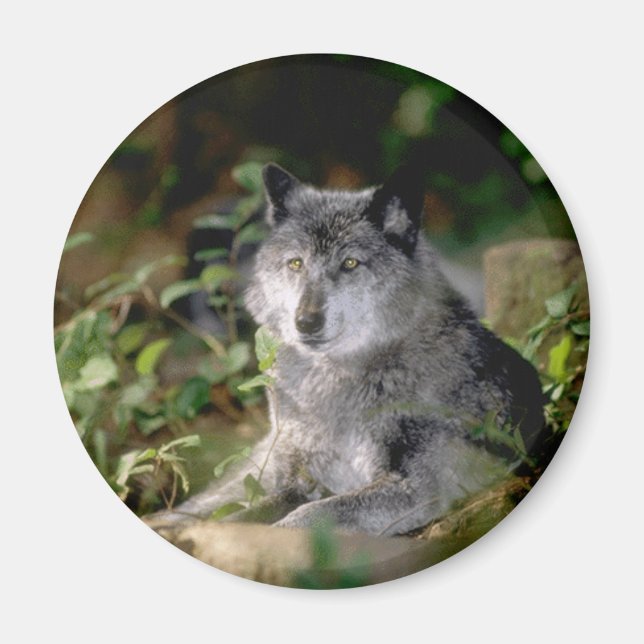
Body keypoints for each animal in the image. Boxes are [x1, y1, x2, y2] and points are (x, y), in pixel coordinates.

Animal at [148, 163, 545, 536]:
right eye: (296, 263)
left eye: (350, 263)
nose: (306, 322)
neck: (335, 378)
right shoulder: (298, 480)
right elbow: (248, 515)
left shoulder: (417, 487)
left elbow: (309, 514)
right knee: (204, 503)